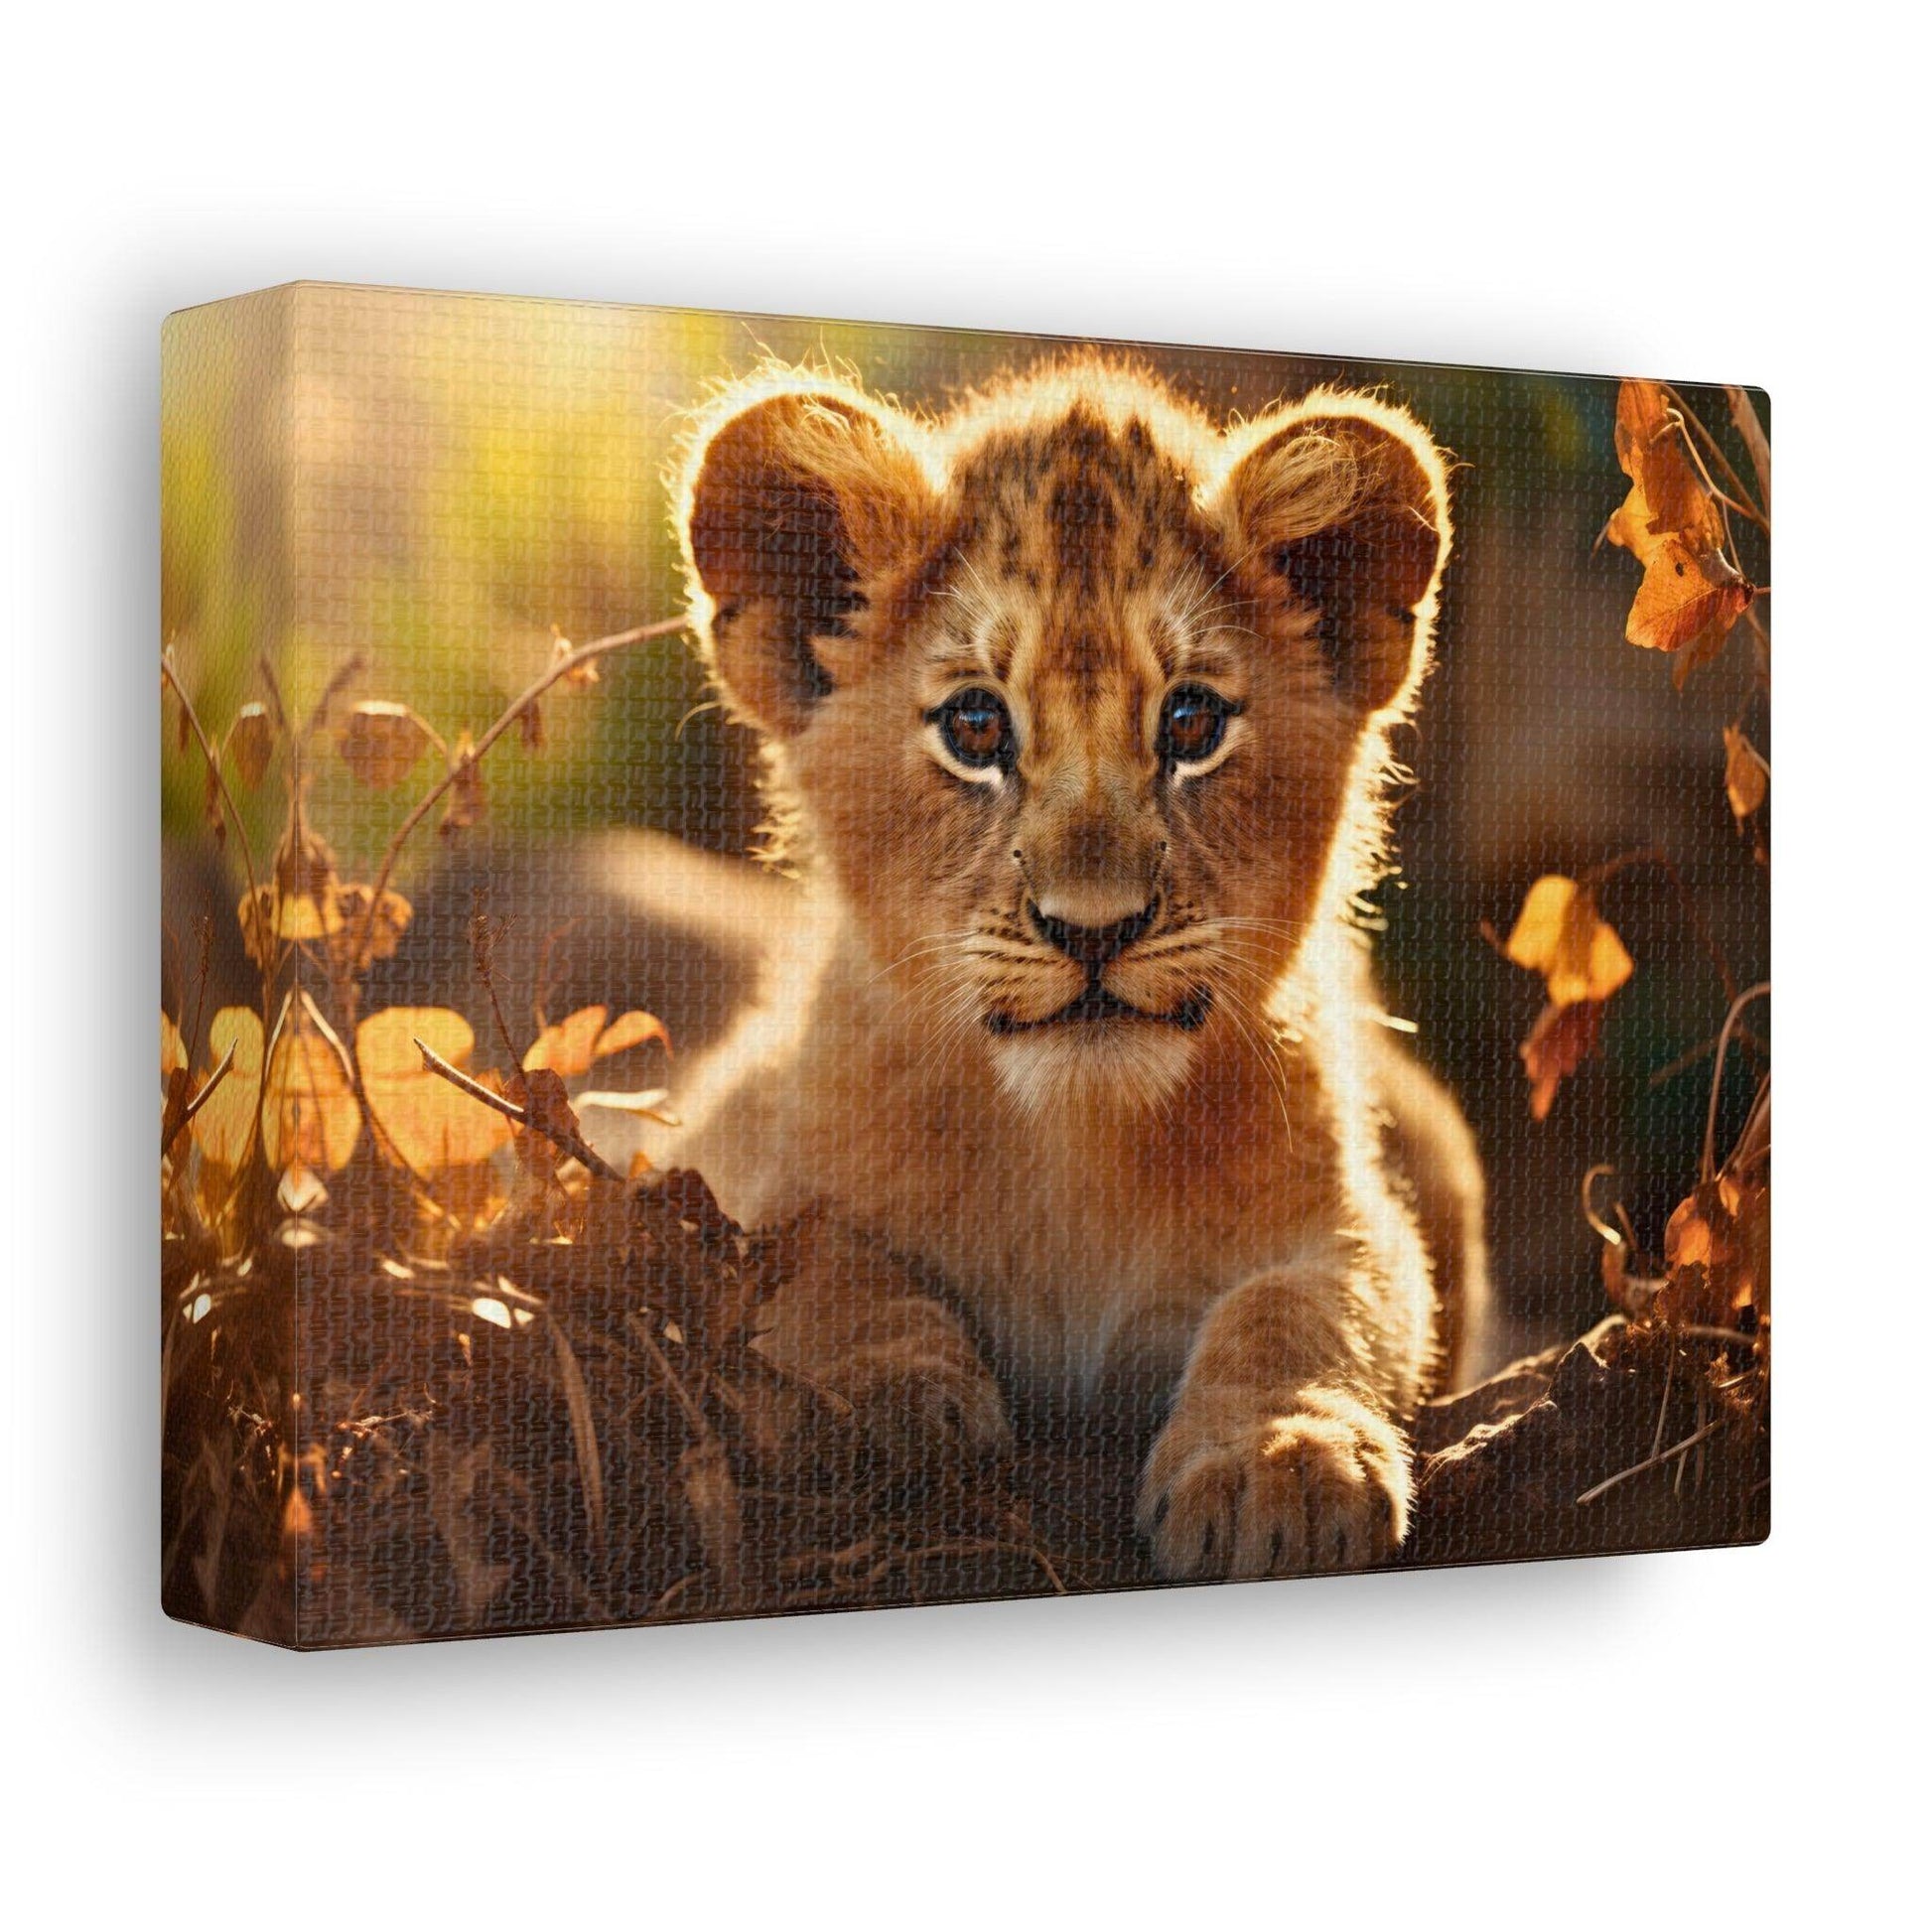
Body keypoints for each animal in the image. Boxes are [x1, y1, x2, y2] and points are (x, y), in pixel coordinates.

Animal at [654, 356, 1488, 1580]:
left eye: (1190, 722)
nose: (1094, 929)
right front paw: (879, 1403)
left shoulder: (1350, 1216)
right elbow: (818, 1264)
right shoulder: (735, 1156)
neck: (1074, 1149)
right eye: (973, 725)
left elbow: (1306, 1308)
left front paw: (1280, 1459)